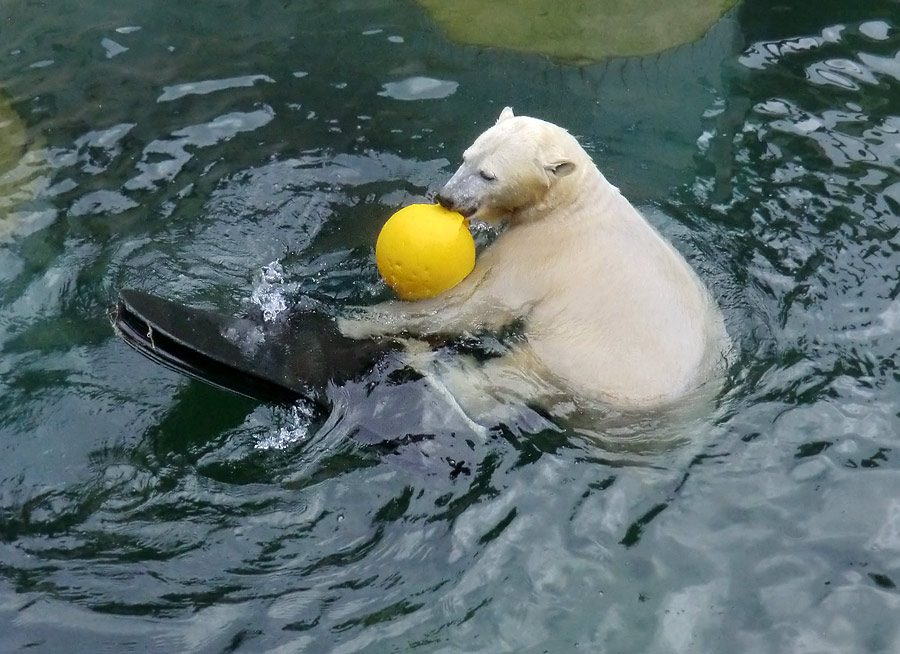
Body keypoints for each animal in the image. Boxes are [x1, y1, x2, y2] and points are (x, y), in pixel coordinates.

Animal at [340, 107, 732, 416]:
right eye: (466, 156)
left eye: (488, 174)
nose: (447, 198)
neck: (569, 204)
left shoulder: (537, 252)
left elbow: (473, 303)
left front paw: (356, 320)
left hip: (584, 362)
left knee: (514, 373)